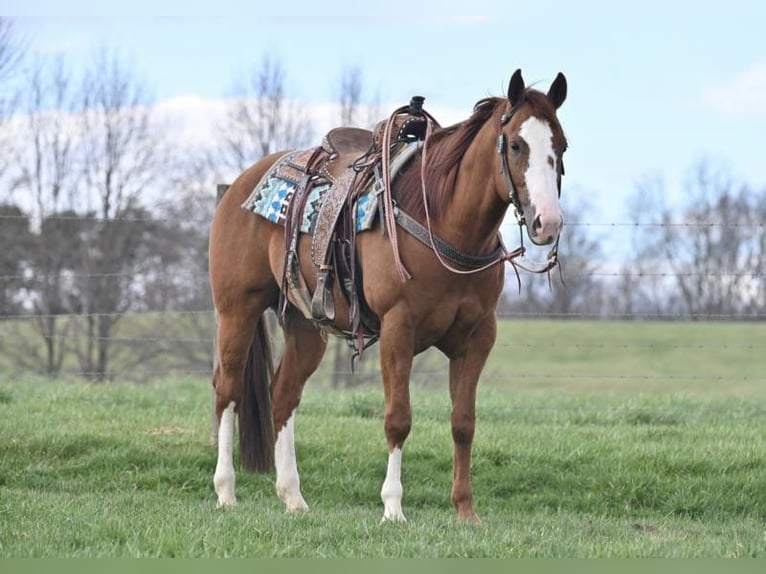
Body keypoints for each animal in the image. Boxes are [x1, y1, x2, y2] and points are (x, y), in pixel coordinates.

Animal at [210, 70, 568, 524]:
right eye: (517, 145)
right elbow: (399, 419)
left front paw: (465, 511)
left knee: (283, 395)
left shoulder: (477, 338)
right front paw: (393, 507)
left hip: (305, 326)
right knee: (228, 389)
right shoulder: (398, 329)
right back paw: (226, 492)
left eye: (561, 146)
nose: (547, 223)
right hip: (237, 309)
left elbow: (463, 421)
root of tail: (239, 184)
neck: (446, 222)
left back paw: (293, 497)